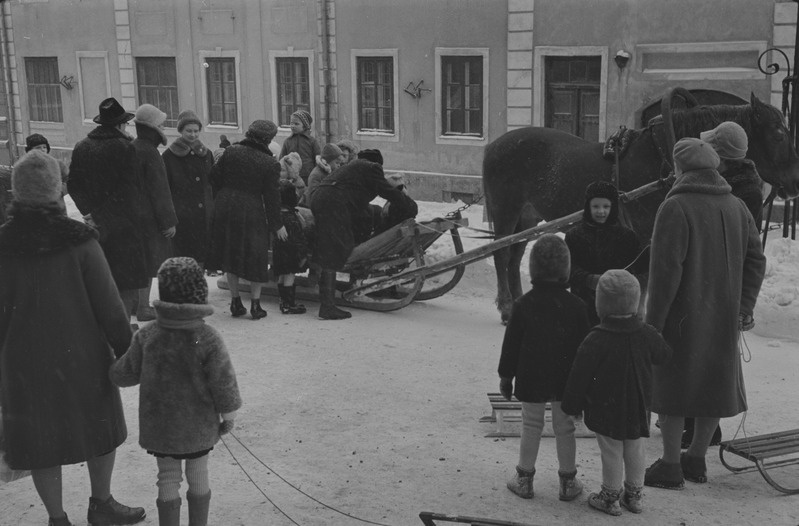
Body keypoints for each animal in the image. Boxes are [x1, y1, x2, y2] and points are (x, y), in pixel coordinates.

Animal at [484, 94, 799, 324]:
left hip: (528, 216)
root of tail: (492, 145)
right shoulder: (647, 235)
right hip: (506, 210)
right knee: (501, 255)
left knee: (514, 256)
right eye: (778, 134)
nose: (794, 182)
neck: (665, 157)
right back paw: (507, 307)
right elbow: (645, 282)